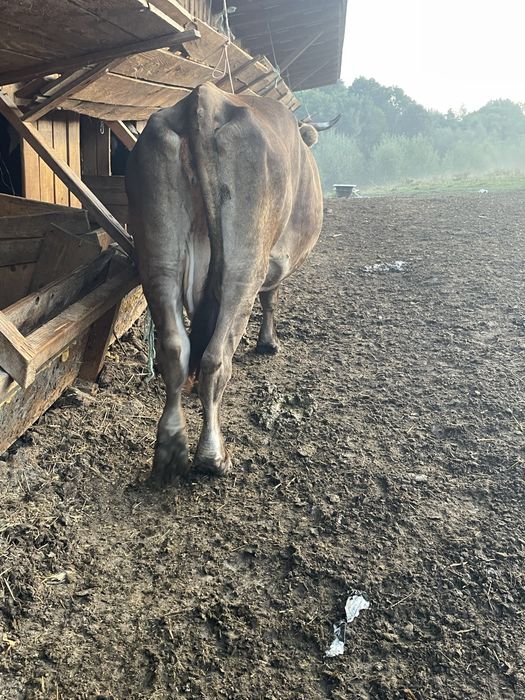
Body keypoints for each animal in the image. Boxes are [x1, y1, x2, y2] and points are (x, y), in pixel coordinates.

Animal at [126, 82, 335, 485]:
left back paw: (170, 449)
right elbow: (272, 298)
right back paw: (212, 455)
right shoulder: (276, 261)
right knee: (215, 357)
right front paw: (269, 343)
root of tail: (205, 99)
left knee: (175, 349)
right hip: (243, 264)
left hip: (159, 257)